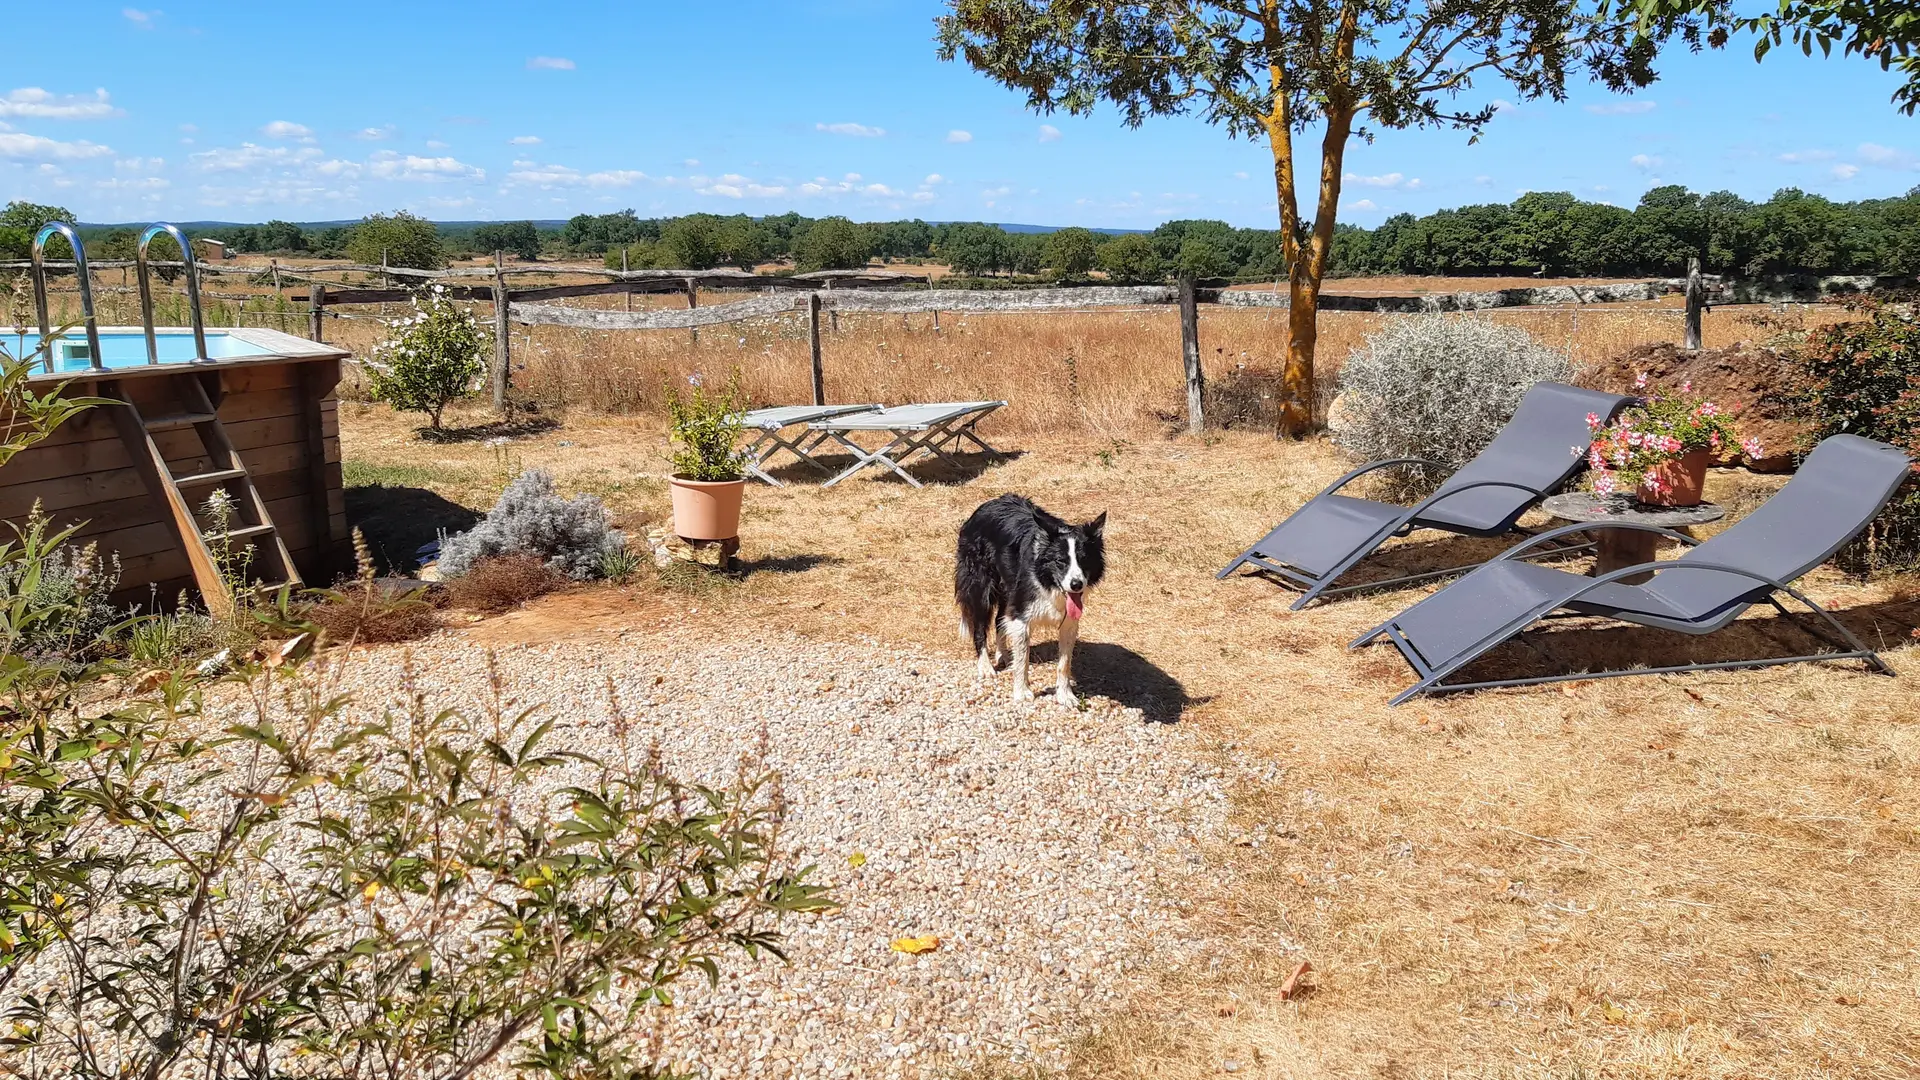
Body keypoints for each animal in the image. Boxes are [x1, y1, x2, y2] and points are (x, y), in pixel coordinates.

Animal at [952, 491, 1105, 703]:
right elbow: (1023, 658)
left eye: (1084, 560)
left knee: (1000, 620)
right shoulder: (1021, 615)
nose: (1076, 585)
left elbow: (1064, 663)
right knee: (980, 627)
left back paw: (1004, 655)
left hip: (1008, 590)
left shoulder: (1069, 621)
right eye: (1060, 561)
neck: (1046, 580)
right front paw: (1022, 692)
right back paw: (986, 666)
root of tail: (989, 504)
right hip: (981, 586)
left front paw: (1065, 695)